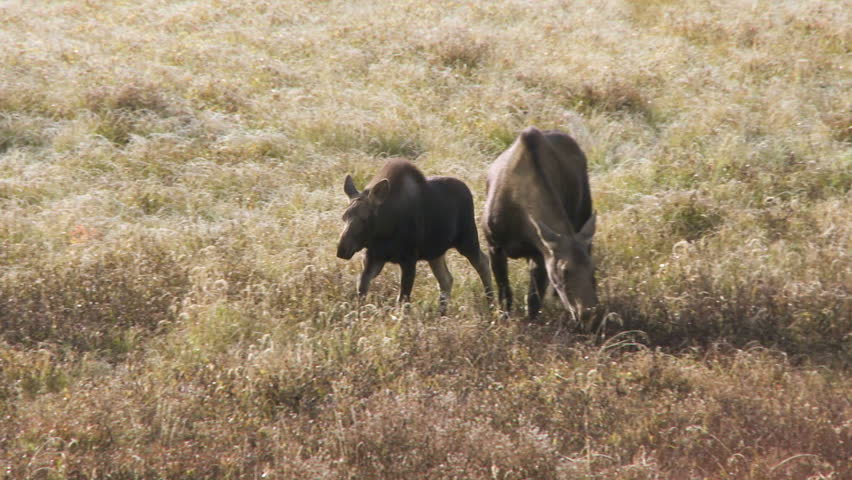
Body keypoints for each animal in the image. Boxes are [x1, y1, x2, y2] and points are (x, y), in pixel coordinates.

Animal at [334, 158, 492, 316]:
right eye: (344, 216)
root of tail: (468, 190)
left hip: (467, 240)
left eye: (364, 218)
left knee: (483, 262)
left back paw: (491, 302)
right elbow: (362, 289)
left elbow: (403, 300)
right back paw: (441, 313)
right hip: (435, 252)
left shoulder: (409, 259)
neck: (385, 230)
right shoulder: (373, 257)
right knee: (446, 279)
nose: (342, 249)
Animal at [482, 125, 596, 324]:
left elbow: (533, 301)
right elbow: (504, 294)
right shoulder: (494, 245)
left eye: (593, 269)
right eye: (564, 271)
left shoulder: (540, 252)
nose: (588, 314)